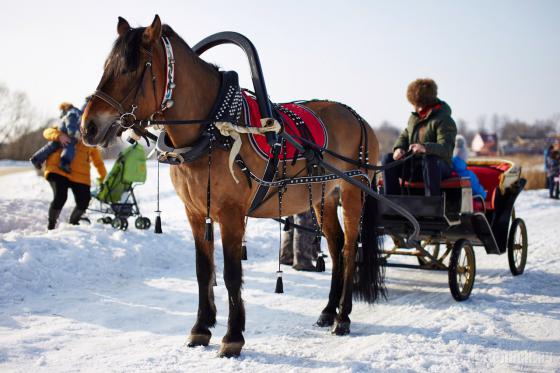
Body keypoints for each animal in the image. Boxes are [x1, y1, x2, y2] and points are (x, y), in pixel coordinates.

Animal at [80, 15, 384, 358]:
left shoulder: (231, 214)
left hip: (354, 190)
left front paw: (232, 336)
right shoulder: (195, 212)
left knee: (349, 247)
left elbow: (230, 273)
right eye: (107, 65)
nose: (89, 127)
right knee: (335, 245)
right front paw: (200, 328)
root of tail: (358, 118)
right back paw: (328, 311)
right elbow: (203, 271)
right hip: (324, 196)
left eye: (131, 68)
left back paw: (343, 317)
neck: (213, 129)